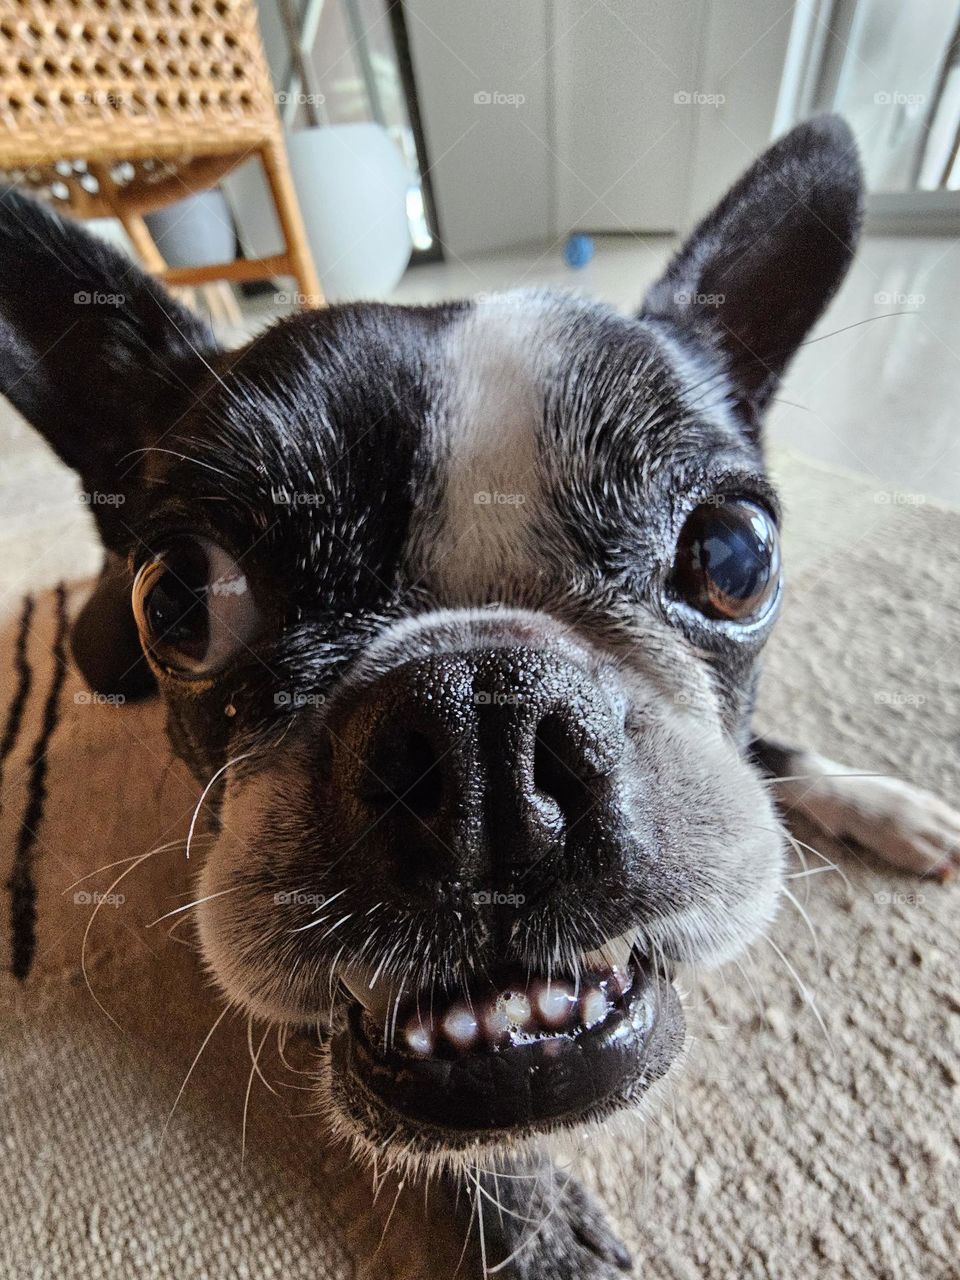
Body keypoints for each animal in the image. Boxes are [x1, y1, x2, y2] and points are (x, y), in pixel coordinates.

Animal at [0, 115, 957, 1274]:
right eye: (182, 596)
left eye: (735, 554)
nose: (481, 720)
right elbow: (459, 1133)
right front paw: (533, 1225)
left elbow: (765, 754)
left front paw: (878, 798)